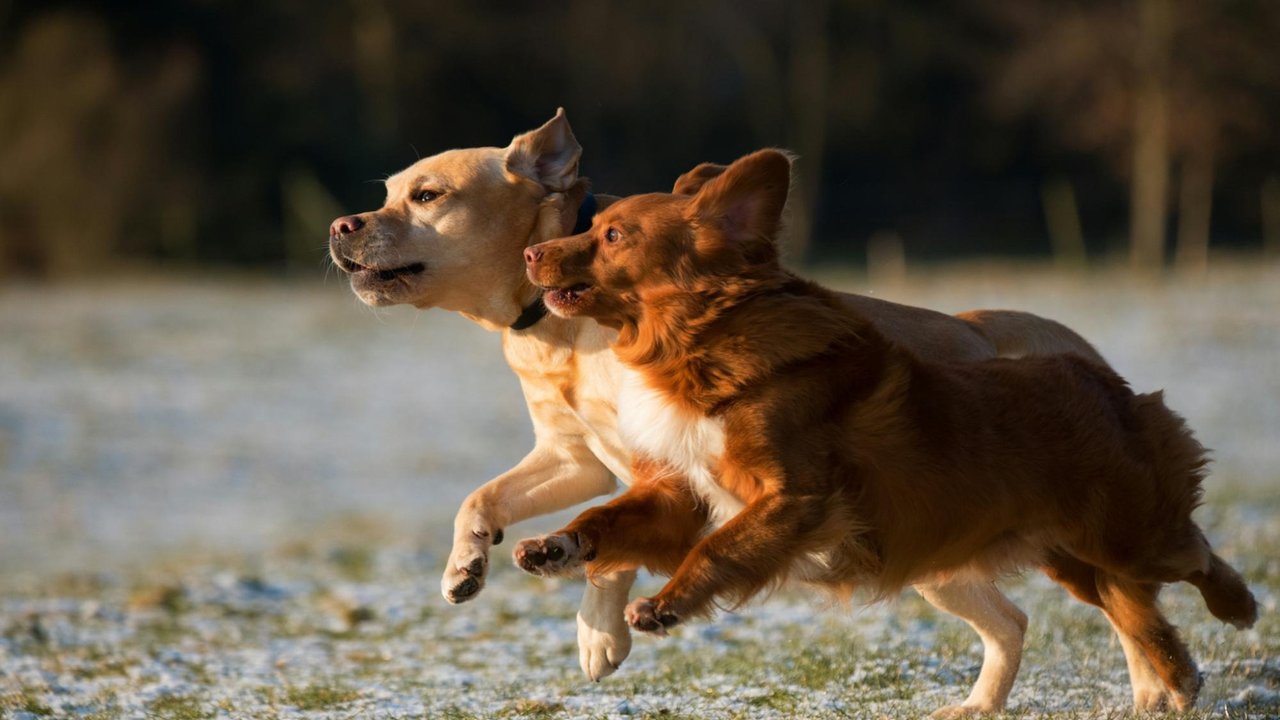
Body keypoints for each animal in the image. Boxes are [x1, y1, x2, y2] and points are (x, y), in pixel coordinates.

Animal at [514, 149, 1254, 712]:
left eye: (613, 235)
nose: (529, 252)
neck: (699, 344)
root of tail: (1102, 378)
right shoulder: (686, 494)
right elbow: (610, 517)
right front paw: (554, 546)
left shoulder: (795, 497)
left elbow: (719, 550)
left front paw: (665, 605)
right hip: (1073, 556)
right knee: (1129, 614)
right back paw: (1169, 682)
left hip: (1125, 536)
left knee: (1193, 555)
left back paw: (1238, 608)